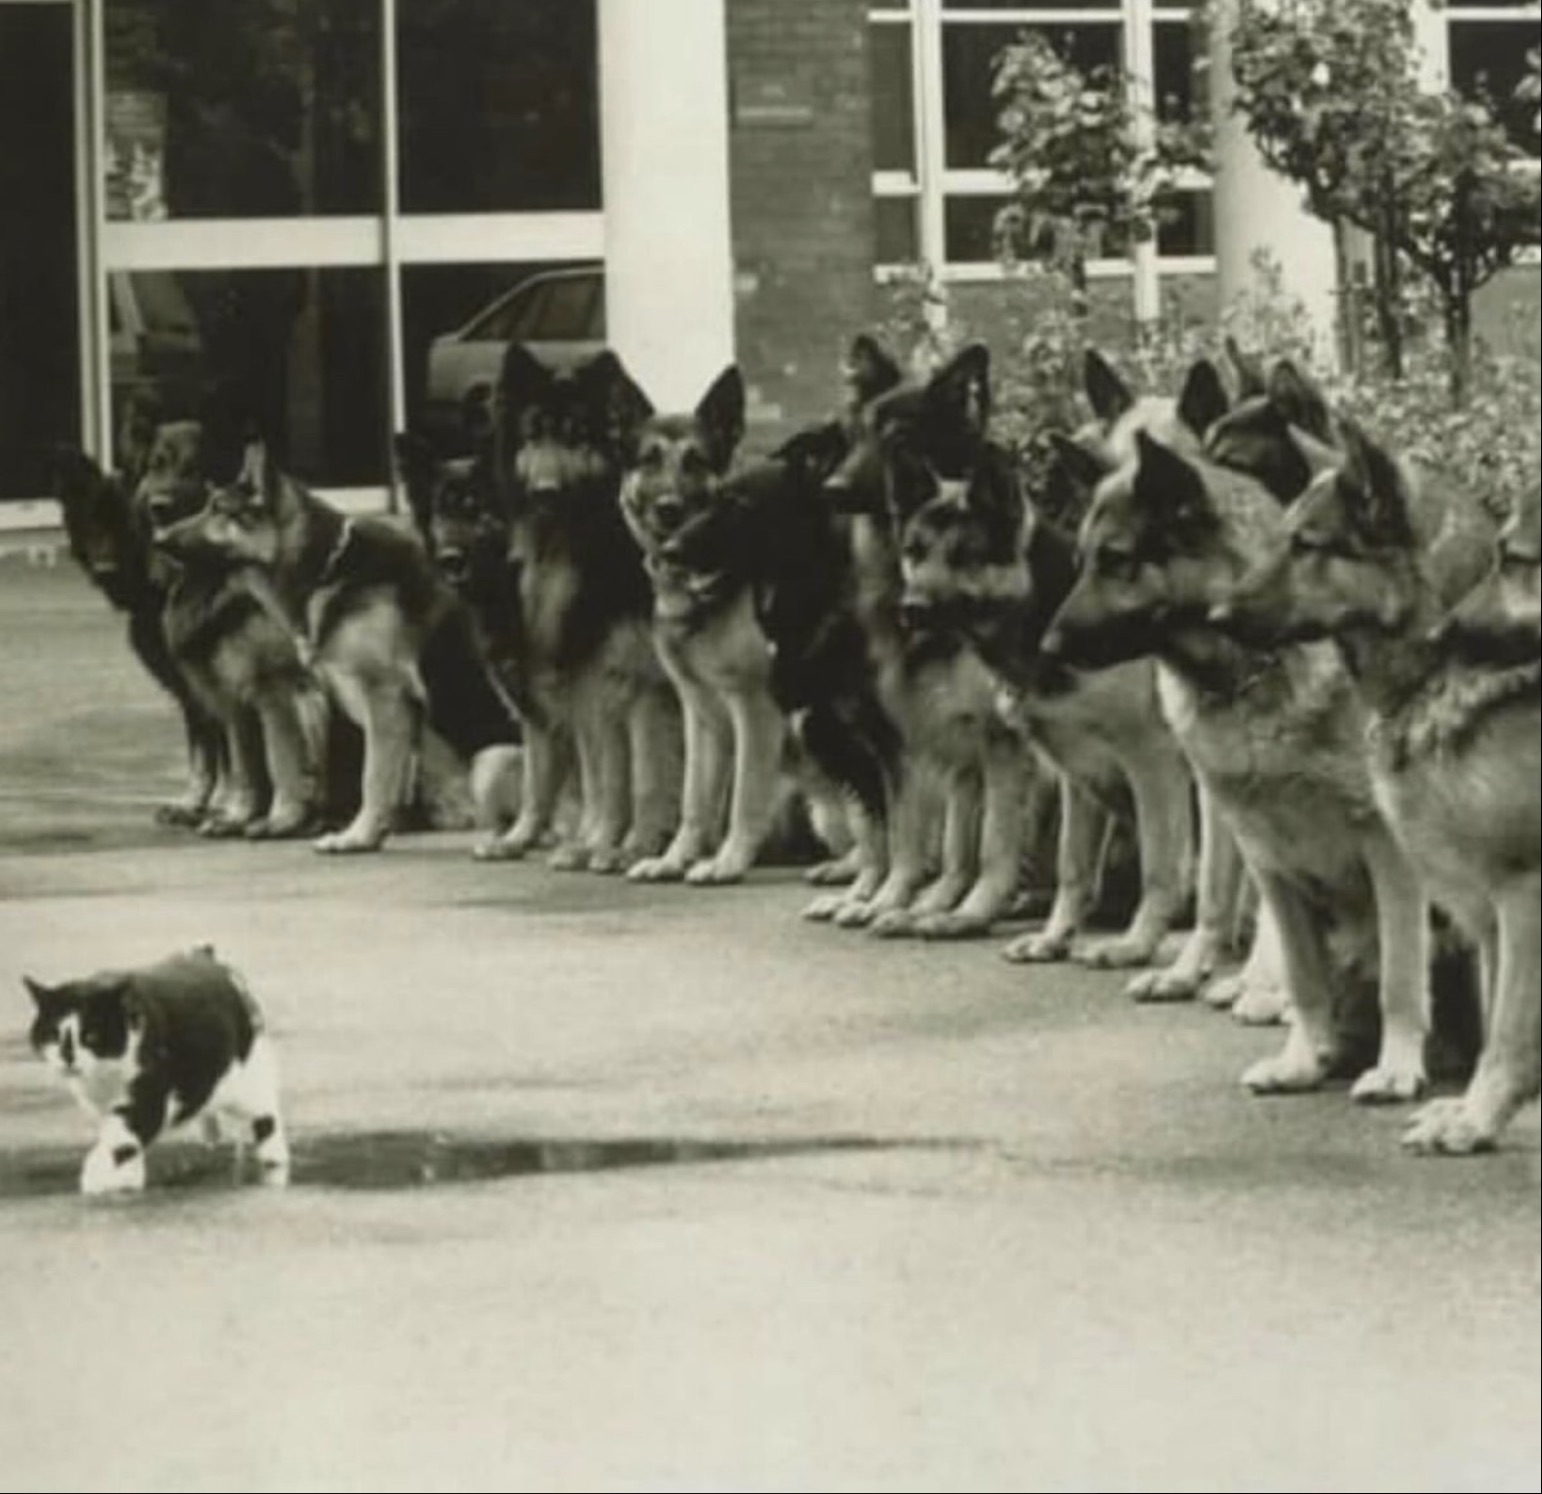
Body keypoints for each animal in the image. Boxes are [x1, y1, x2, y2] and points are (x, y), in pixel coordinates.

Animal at [24, 949, 291, 1196]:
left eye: (91, 1036)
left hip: (250, 1075)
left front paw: (97, 1175)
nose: (67, 1057)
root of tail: (206, 955)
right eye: (52, 1034)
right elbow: (125, 1142)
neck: (104, 1074)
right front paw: (127, 1180)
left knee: (266, 1116)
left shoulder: (149, 1094)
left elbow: (121, 1135)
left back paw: (274, 1159)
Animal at [156, 434, 521, 851]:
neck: (325, 570)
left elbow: (365, 776)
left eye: (219, 509)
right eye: (206, 504)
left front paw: (351, 835)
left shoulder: (368, 697)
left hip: (490, 761)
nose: (158, 537)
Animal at [481, 342, 675, 869]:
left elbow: (638, 778)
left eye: (577, 435)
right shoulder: (590, 681)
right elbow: (593, 777)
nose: (545, 491)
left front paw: (627, 847)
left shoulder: (638, 685)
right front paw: (587, 841)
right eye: (535, 433)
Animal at [1042, 400, 1437, 1103]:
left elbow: (1400, 971)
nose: (1046, 648)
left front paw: (1395, 1067)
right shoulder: (1258, 842)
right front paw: (1300, 1056)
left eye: (1117, 560)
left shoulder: (1389, 851)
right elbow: (1287, 959)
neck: (1245, 672)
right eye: (1083, 559)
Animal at [1208, 419, 1535, 1153]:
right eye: (1281, 536)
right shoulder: (1488, 906)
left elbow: (1493, 1023)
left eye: (1308, 545)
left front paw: (1470, 1115)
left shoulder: (1514, 893)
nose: (1213, 614)